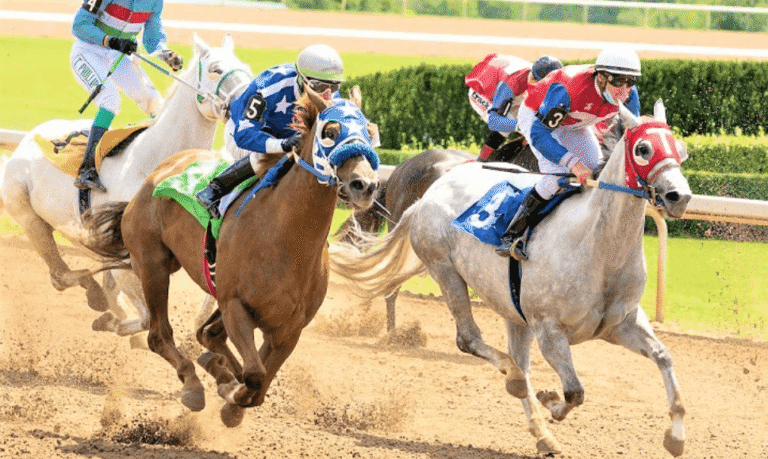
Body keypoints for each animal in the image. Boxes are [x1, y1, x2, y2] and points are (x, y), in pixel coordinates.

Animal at [0, 34, 252, 340]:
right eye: (216, 69)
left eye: (245, 67)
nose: (255, 102)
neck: (158, 160)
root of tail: (27, 139)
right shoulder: (130, 256)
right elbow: (144, 317)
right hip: (28, 215)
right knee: (60, 276)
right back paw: (95, 296)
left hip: (80, 236)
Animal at [83, 88, 381, 426]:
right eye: (330, 132)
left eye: (370, 132)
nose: (365, 185)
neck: (287, 239)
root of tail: (161, 170)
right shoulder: (235, 306)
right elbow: (254, 374)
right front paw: (228, 391)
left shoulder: (290, 329)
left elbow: (260, 384)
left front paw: (229, 390)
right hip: (153, 264)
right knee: (159, 335)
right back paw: (193, 385)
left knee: (206, 334)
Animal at [327, 101, 691, 456]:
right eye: (643, 149)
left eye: (680, 148)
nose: (680, 196)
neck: (598, 248)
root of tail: (427, 196)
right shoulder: (549, 329)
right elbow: (574, 391)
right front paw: (550, 400)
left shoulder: (622, 323)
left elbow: (664, 356)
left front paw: (676, 436)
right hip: (444, 269)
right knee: (474, 343)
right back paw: (510, 379)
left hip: (513, 311)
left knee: (519, 362)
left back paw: (542, 436)